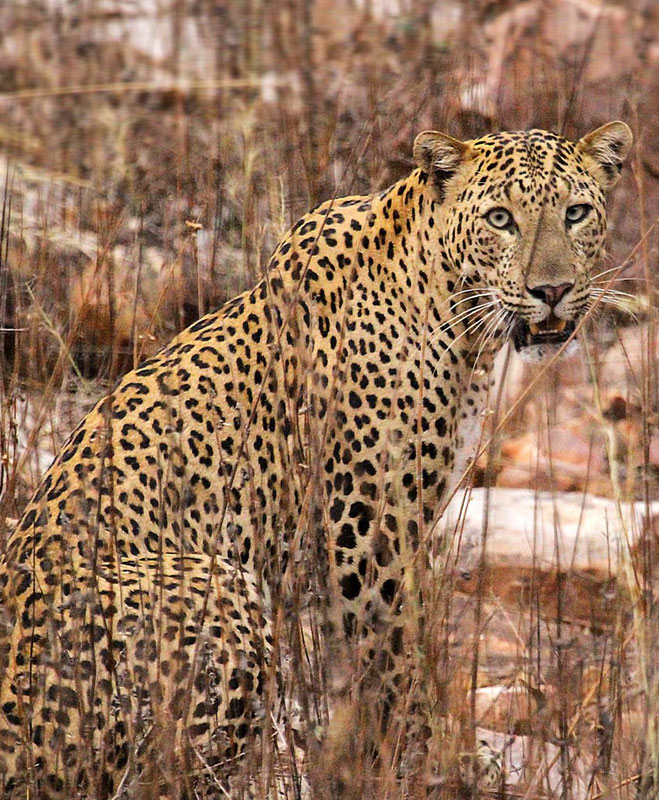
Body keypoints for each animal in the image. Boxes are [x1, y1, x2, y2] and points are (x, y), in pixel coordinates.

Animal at [0, 117, 636, 792]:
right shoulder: (366, 530)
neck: (457, 321)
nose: (553, 290)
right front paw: (427, 763)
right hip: (220, 585)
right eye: (500, 219)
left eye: (575, 213)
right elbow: (396, 661)